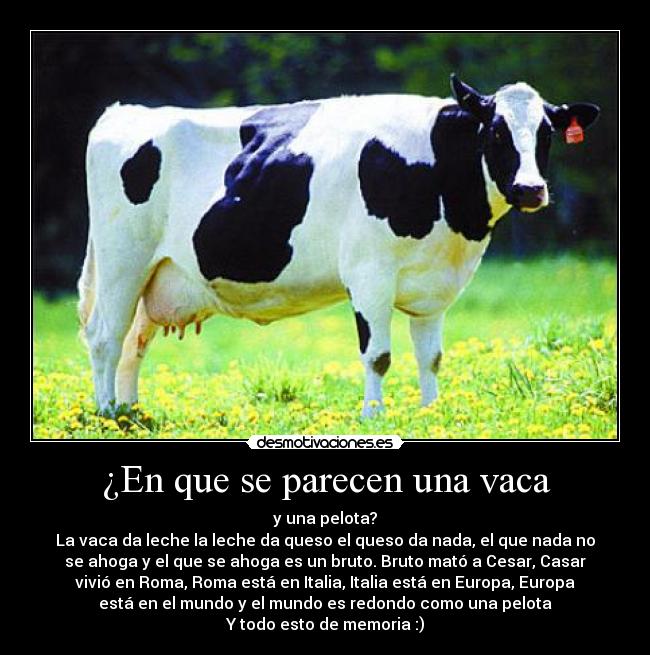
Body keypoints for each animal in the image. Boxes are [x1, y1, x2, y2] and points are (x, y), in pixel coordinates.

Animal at [78, 74, 600, 418]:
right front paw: (373, 417)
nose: (531, 189)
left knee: (133, 342)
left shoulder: (434, 286)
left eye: (546, 133)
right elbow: (379, 355)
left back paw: (131, 412)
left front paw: (432, 413)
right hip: (122, 260)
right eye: (495, 131)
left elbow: (431, 356)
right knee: (105, 336)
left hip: (156, 275)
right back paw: (107, 414)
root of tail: (125, 111)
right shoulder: (369, 274)